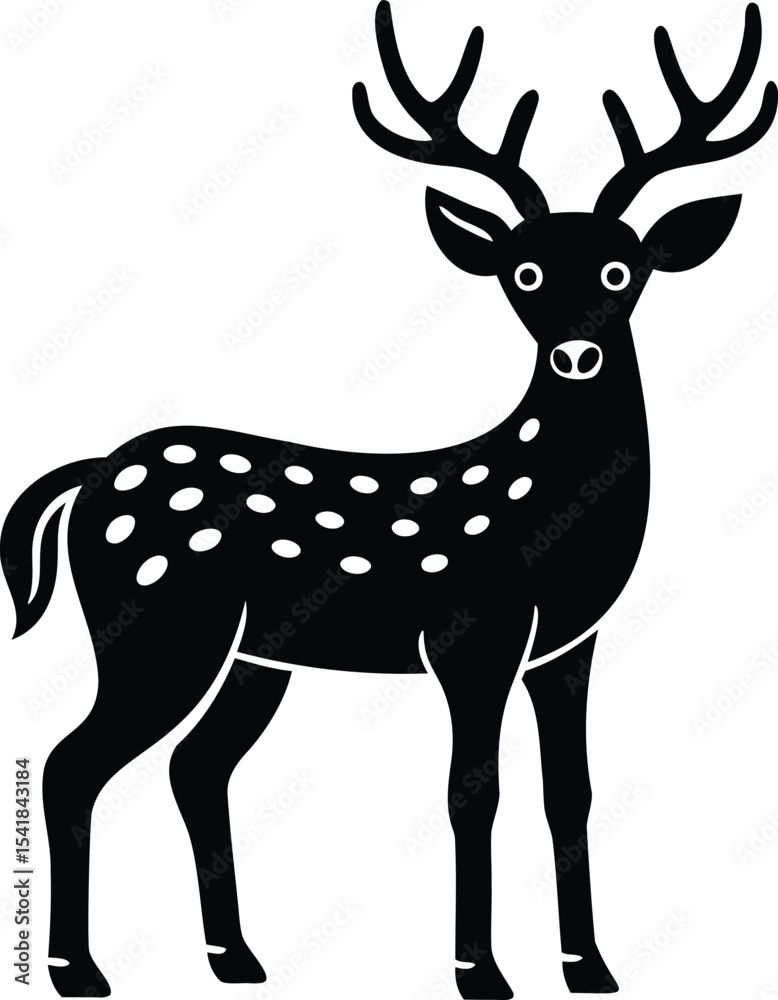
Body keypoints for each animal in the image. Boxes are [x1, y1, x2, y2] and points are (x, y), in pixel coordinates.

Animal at [2, 2, 775, 997]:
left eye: (621, 270)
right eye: (523, 273)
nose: (577, 353)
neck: (550, 518)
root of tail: (92, 473)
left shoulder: (570, 643)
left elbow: (571, 791)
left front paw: (591, 967)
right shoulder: (472, 631)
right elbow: (472, 792)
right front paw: (480, 971)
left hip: (251, 656)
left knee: (194, 767)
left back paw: (236, 958)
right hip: (156, 625)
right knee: (73, 763)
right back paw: (78, 968)